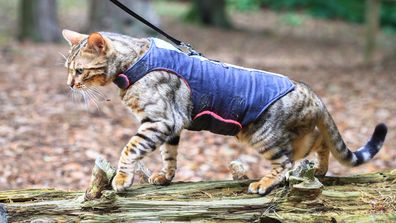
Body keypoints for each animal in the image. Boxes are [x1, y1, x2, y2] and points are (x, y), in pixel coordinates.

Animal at [62, 29, 386, 195]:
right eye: (67, 68)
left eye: (79, 70)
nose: (69, 84)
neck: (135, 63)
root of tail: (312, 92)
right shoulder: (172, 126)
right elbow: (169, 156)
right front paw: (165, 177)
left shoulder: (160, 120)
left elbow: (129, 148)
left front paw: (121, 179)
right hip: (296, 137)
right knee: (320, 141)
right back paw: (319, 168)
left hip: (263, 136)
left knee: (286, 164)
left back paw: (264, 183)